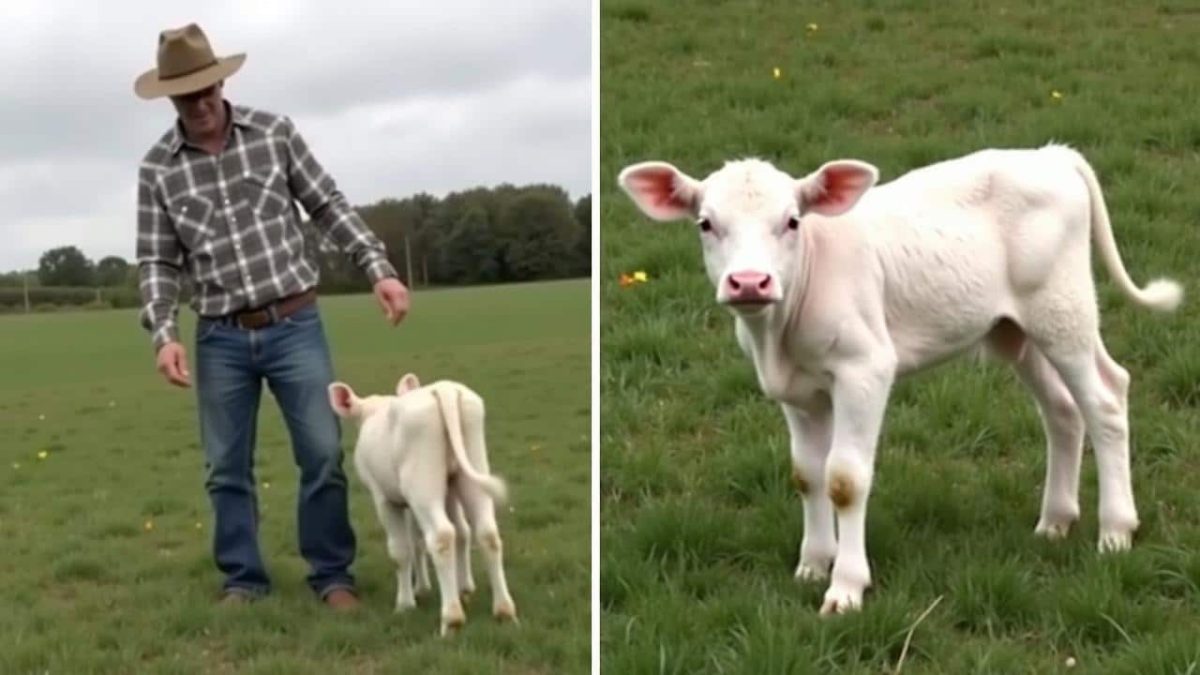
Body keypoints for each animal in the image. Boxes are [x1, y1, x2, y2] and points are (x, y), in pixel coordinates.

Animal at [328, 373, 517, 634]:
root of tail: (444, 389)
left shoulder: (384, 498)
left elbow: (401, 550)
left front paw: (405, 604)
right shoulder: (418, 500)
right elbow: (417, 541)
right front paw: (423, 588)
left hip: (422, 485)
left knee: (442, 535)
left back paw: (452, 618)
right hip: (470, 472)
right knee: (485, 533)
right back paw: (503, 611)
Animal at [617, 144, 1182, 614]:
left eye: (792, 221)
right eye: (705, 224)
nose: (750, 282)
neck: (777, 337)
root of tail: (1050, 155)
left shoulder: (865, 368)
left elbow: (845, 479)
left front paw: (845, 587)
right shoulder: (798, 393)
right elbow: (807, 474)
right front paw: (811, 564)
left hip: (1062, 310)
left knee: (1106, 398)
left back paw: (1116, 530)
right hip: (1014, 329)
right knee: (1063, 410)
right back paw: (1056, 521)